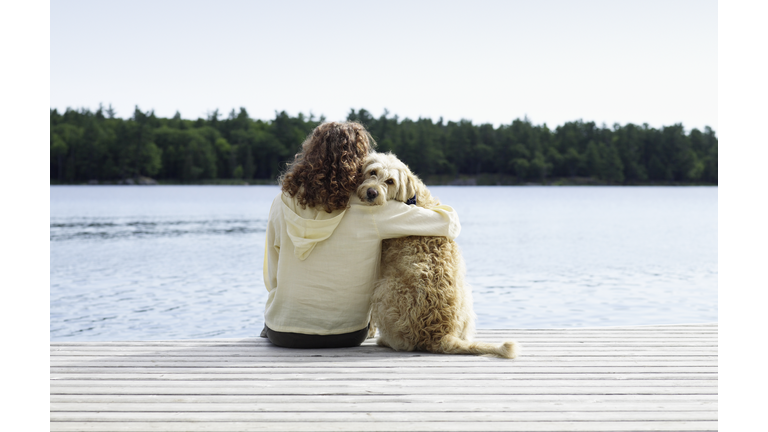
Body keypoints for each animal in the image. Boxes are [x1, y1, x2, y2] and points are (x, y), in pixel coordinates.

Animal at [356, 152, 520, 358]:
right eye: (373, 172)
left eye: (390, 181)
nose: (372, 192)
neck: (411, 198)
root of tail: (440, 334)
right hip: (466, 294)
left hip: (384, 289)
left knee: (403, 343)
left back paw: (385, 341)